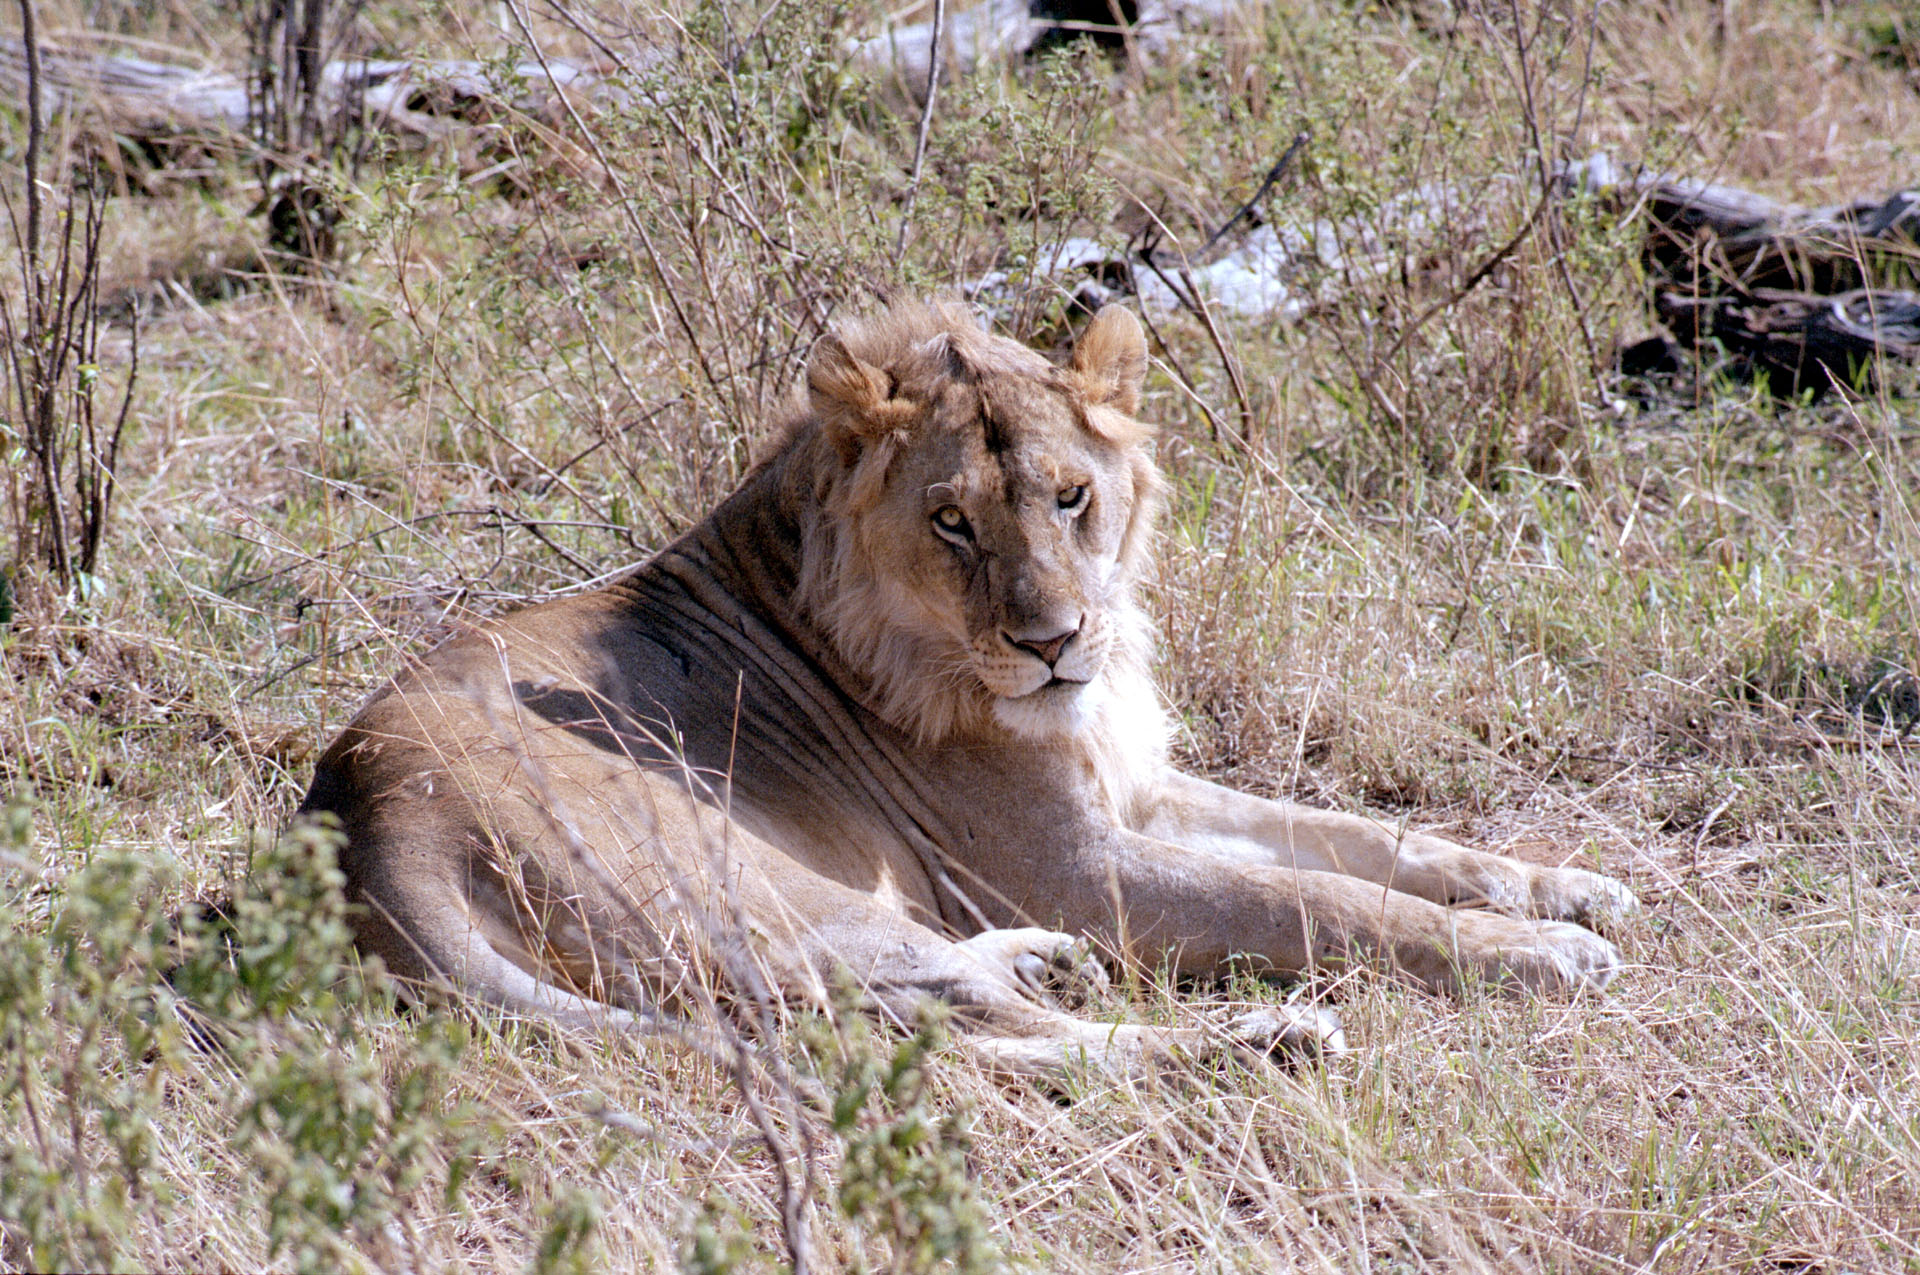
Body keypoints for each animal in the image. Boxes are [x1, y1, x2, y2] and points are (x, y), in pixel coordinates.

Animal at [299, 301, 1635, 1075]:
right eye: (950, 521)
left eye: (1071, 497)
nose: (1055, 643)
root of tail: (363, 818)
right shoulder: (1068, 861)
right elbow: (1323, 901)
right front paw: (1543, 951)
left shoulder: (1134, 791)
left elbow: (1368, 839)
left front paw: (1571, 887)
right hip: (762, 888)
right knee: (964, 1034)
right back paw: (1263, 1040)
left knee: (948, 1010)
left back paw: (1051, 965)